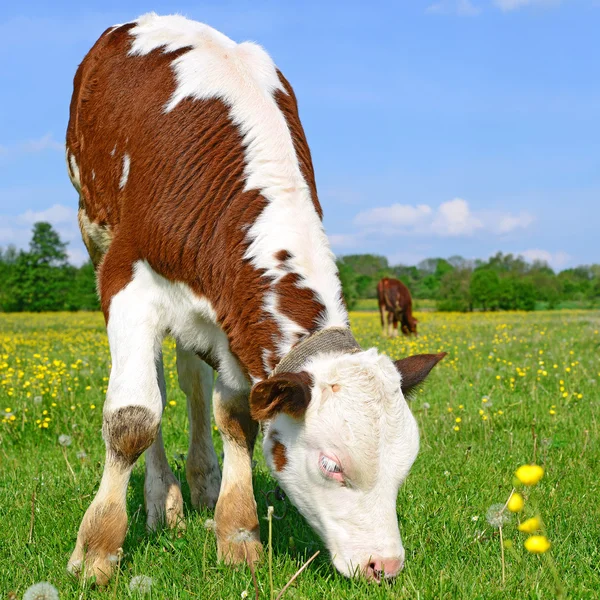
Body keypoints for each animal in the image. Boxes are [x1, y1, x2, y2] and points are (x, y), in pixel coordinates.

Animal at [65, 12, 442, 584]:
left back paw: (201, 483)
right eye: (332, 466)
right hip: (95, 233)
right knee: (155, 383)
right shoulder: (126, 279)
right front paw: (96, 549)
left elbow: (238, 416)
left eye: (404, 467)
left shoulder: (235, 316)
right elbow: (133, 418)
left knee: (192, 383)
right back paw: (162, 501)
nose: (385, 564)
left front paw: (238, 533)